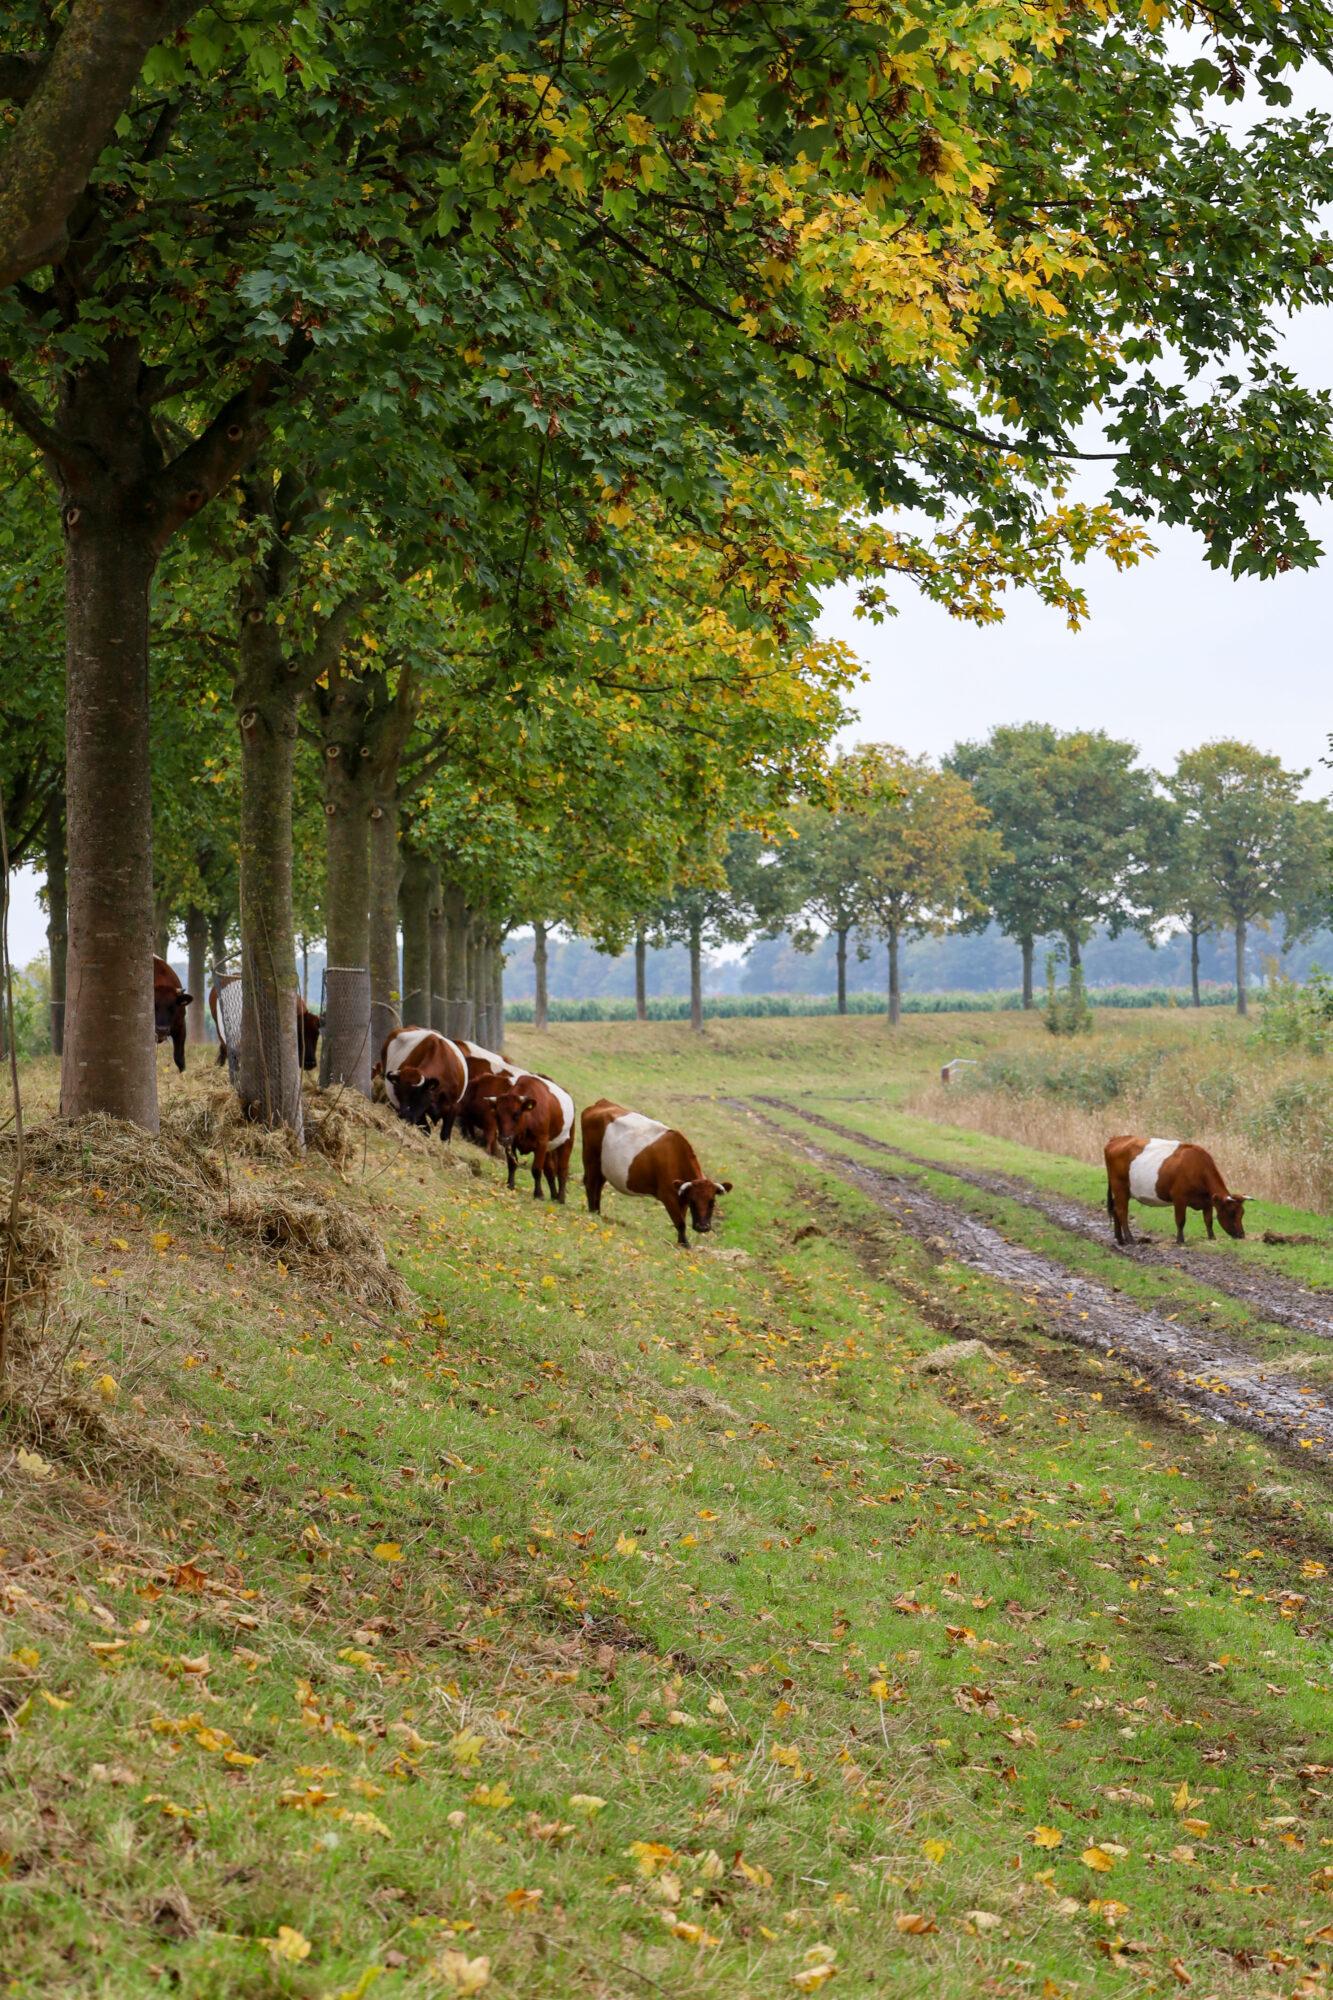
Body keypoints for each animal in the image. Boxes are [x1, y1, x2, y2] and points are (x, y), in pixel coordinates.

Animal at [580, 1096, 732, 1248]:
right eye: (693, 1201)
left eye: (712, 1201)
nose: (703, 1227)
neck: (676, 1155)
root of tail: (602, 1102)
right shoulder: (667, 1195)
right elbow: (680, 1222)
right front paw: (685, 1244)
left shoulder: (682, 1197)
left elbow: (682, 1219)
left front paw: (681, 1242)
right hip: (590, 1158)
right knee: (590, 1183)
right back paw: (592, 1212)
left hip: (602, 1167)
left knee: (598, 1186)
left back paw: (597, 1212)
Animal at [1096, 1136, 1248, 1240]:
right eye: (1231, 1212)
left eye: (1242, 1213)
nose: (1241, 1235)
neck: (1198, 1167)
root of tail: (1116, 1138)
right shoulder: (1179, 1197)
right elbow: (1180, 1220)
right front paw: (1180, 1240)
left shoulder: (1207, 1201)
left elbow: (1208, 1220)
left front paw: (1212, 1238)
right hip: (1120, 1187)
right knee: (1121, 1210)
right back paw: (1129, 1238)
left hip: (1121, 1191)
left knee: (1115, 1209)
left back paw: (1119, 1238)